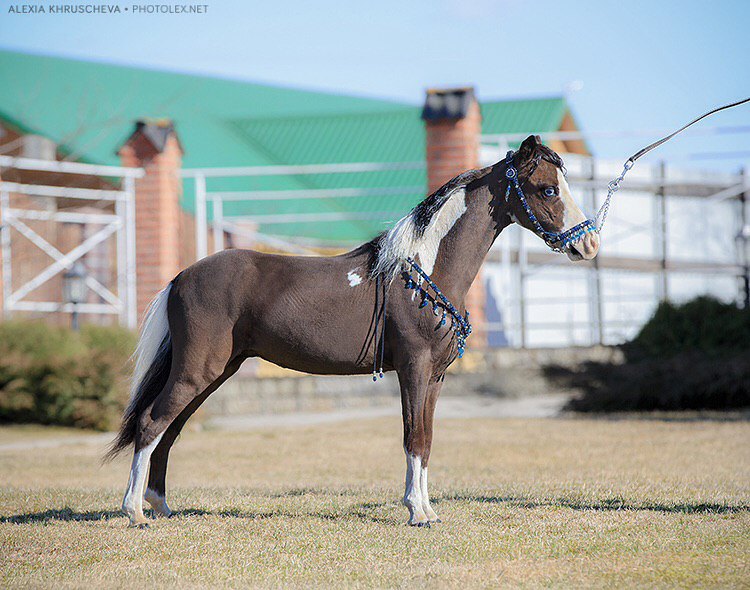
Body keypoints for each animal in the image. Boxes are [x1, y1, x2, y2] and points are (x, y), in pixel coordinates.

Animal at [107, 136, 600, 528]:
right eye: (547, 188)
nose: (589, 244)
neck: (421, 269)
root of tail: (181, 277)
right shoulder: (414, 369)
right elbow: (413, 437)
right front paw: (417, 513)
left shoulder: (436, 378)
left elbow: (427, 438)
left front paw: (427, 509)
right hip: (198, 371)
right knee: (153, 423)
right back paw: (135, 513)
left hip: (214, 373)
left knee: (169, 429)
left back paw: (160, 507)